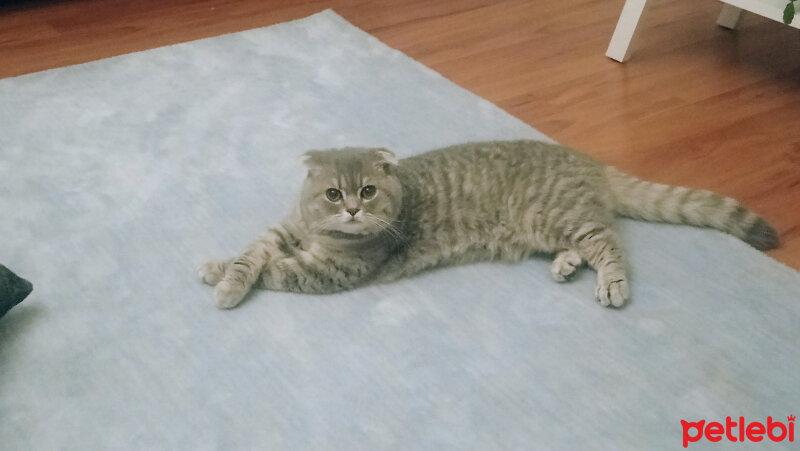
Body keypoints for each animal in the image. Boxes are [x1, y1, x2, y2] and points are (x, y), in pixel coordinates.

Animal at [197, 141, 780, 310]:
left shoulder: (329, 272)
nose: (353, 211)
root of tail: (587, 160)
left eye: (368, 192)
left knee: (609, 243)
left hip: (560, 214)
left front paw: (224, 285)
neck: (322, 232)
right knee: (585, 244)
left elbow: (275, 271)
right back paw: (568, 266)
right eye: (333, 193)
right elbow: (253, 253)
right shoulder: (283, 230)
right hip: (552, 226)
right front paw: (220, 269)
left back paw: (612, 283)